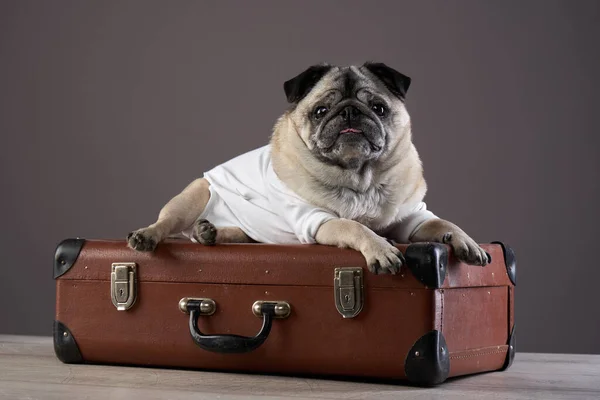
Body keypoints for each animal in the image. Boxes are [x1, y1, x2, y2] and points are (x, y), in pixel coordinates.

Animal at [126, 63, 488, 276]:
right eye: (321, 111)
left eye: (379, 108)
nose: (350, 113)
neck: (361, 177)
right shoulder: (317, 221)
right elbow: (355, 227)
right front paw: (380, 248)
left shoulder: (412, 217)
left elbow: (443, 222)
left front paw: (467, 241)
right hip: (193, 196)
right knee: (166, 223)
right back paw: (149, 235)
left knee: (230, 235)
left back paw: (211, 232)